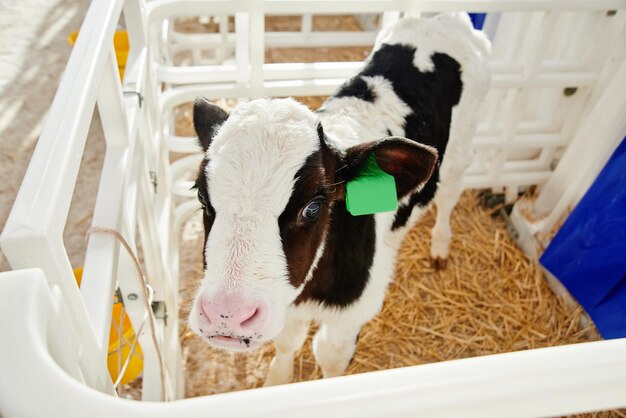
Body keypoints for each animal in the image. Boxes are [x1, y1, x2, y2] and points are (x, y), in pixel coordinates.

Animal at [188, 13, 490, 386]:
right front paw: (276, 380)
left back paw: (440, 247)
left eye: (313, 207)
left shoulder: (354, 311)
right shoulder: (287, 301)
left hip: (461, 148)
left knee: (448, 196)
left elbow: (330, 356)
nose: (226, 315)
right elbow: (287, 342)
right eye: (202, 195)